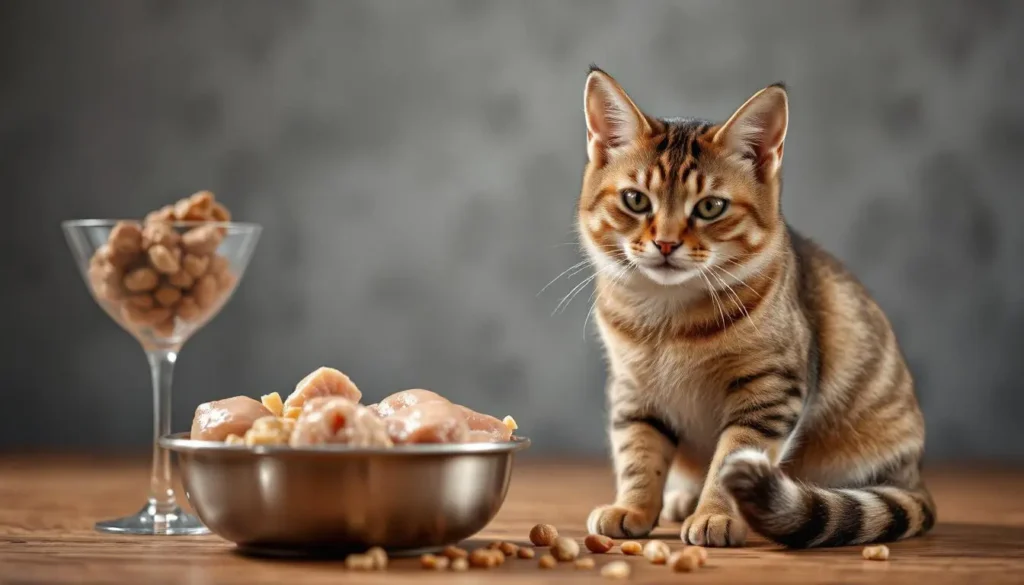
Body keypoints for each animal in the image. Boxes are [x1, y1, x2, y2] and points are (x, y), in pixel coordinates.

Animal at [577, 67, 937, 549]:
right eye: (636, 200)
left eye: (711, 207)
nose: (666, 243)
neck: (669, 318)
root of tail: (915, 477)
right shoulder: (634, 390)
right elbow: (638, 453)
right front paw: (632, 508)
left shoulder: (769, 389)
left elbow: (734, 454)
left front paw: (714, 514)